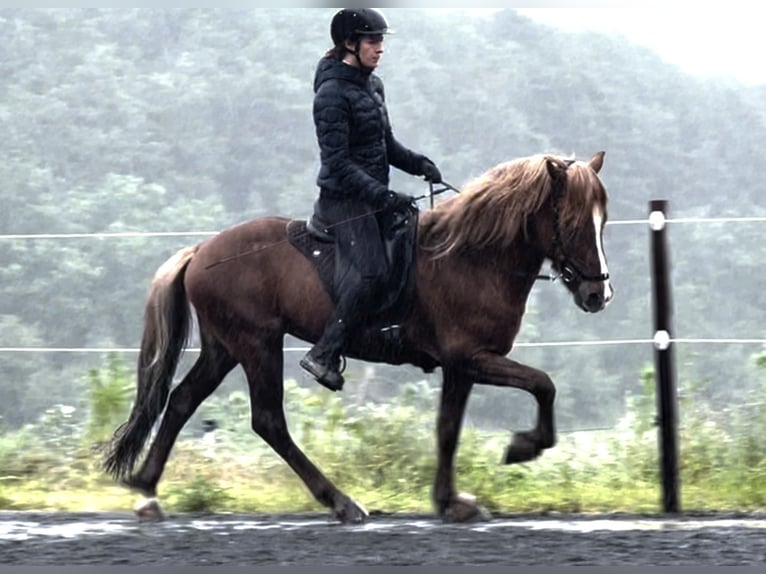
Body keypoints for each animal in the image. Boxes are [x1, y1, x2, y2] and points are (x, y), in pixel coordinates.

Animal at [103, 152, 616, 528]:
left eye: (603, 220)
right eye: (573, 223)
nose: (598, 294)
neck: (471, 259)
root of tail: (200, 250)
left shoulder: (461, 365)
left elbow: (448, 428)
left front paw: (451, 501)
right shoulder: (472, 357)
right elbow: (543, 384)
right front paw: (523, 447)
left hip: (223, 347)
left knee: (181, 401)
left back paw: (147, 492)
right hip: (257, 344)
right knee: (268, 421)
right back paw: (341, 502)